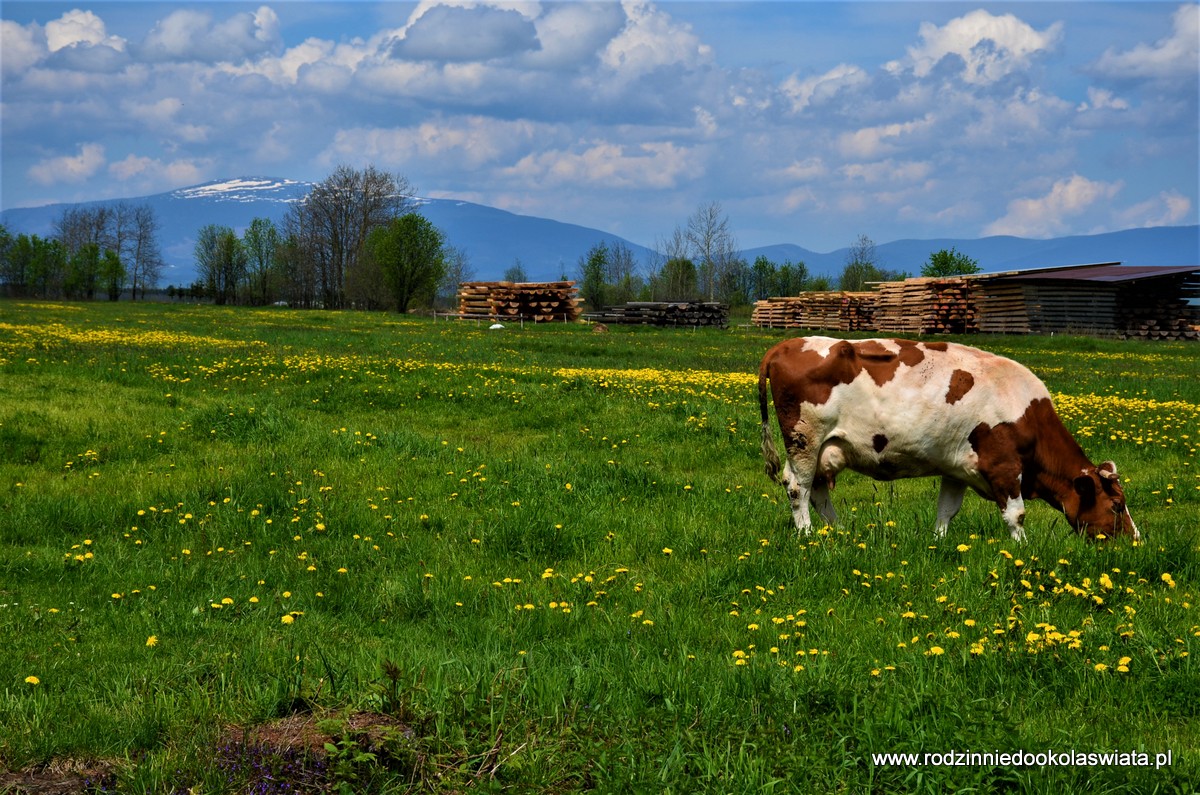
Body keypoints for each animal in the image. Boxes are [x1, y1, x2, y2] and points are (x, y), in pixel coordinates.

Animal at [753, 336, 1137, 542]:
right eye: (1117, 505)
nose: (1134, 540)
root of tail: (787, 344)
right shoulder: (1004, 465)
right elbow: (1016, 515)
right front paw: (1023, 549)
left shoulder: (957, 469)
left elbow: (947, 511)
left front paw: (938, 541)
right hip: (804, 439)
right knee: (798, 488)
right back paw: (808, 535)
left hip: (822, 449)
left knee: (817, 491)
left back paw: (842, 532)